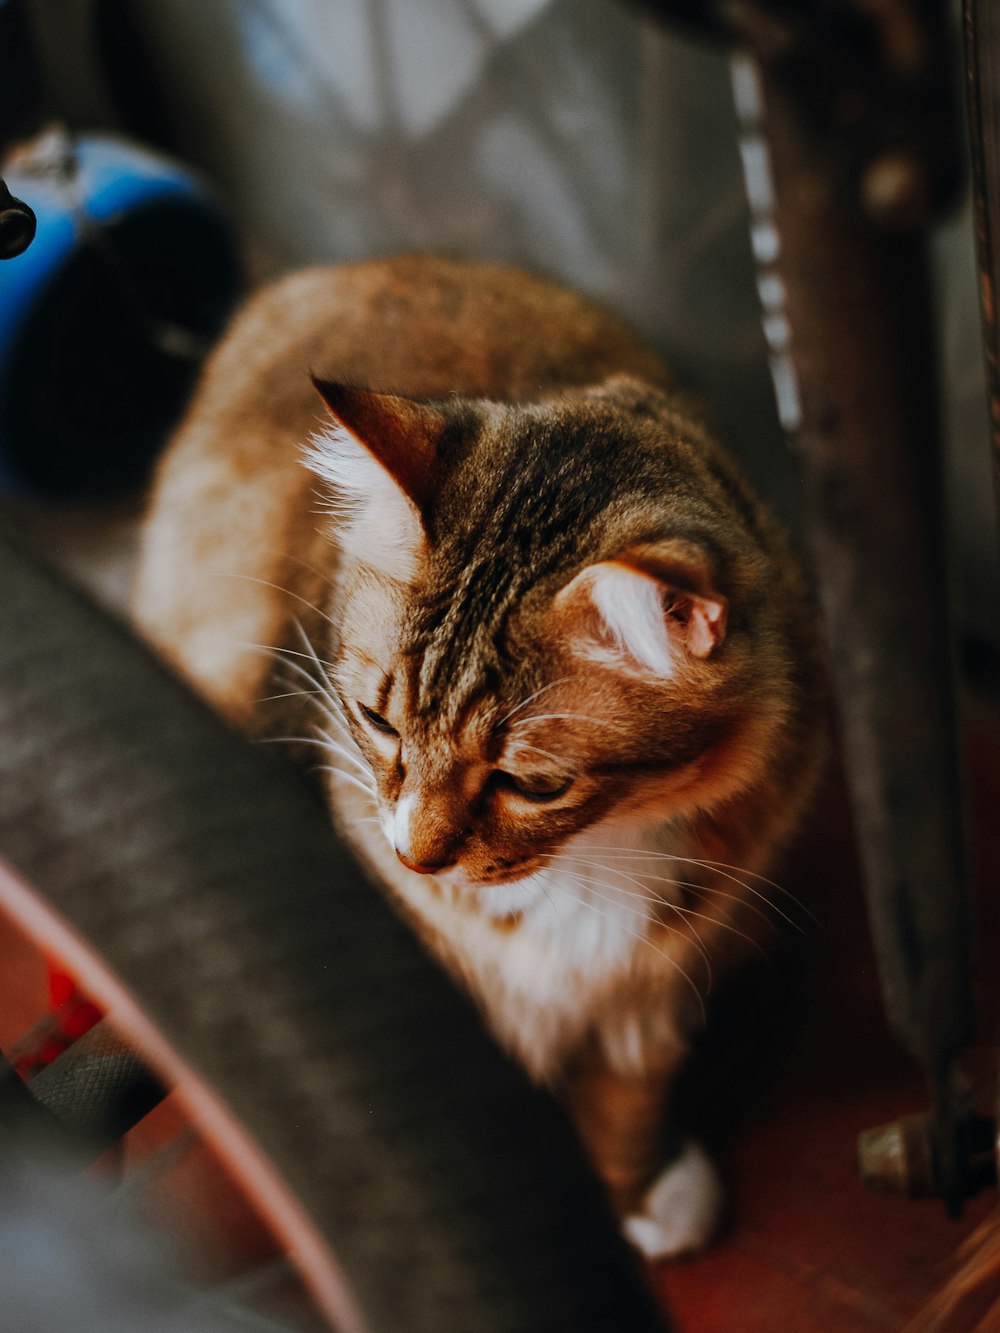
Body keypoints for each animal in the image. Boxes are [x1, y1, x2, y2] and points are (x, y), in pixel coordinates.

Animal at [133, 257, 826, 1258]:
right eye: (377, 722)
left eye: (531, 782)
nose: (414, 858)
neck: (593, 859)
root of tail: (325, 272)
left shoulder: (646, 988)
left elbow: (624, 1096)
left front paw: (635, 1195)